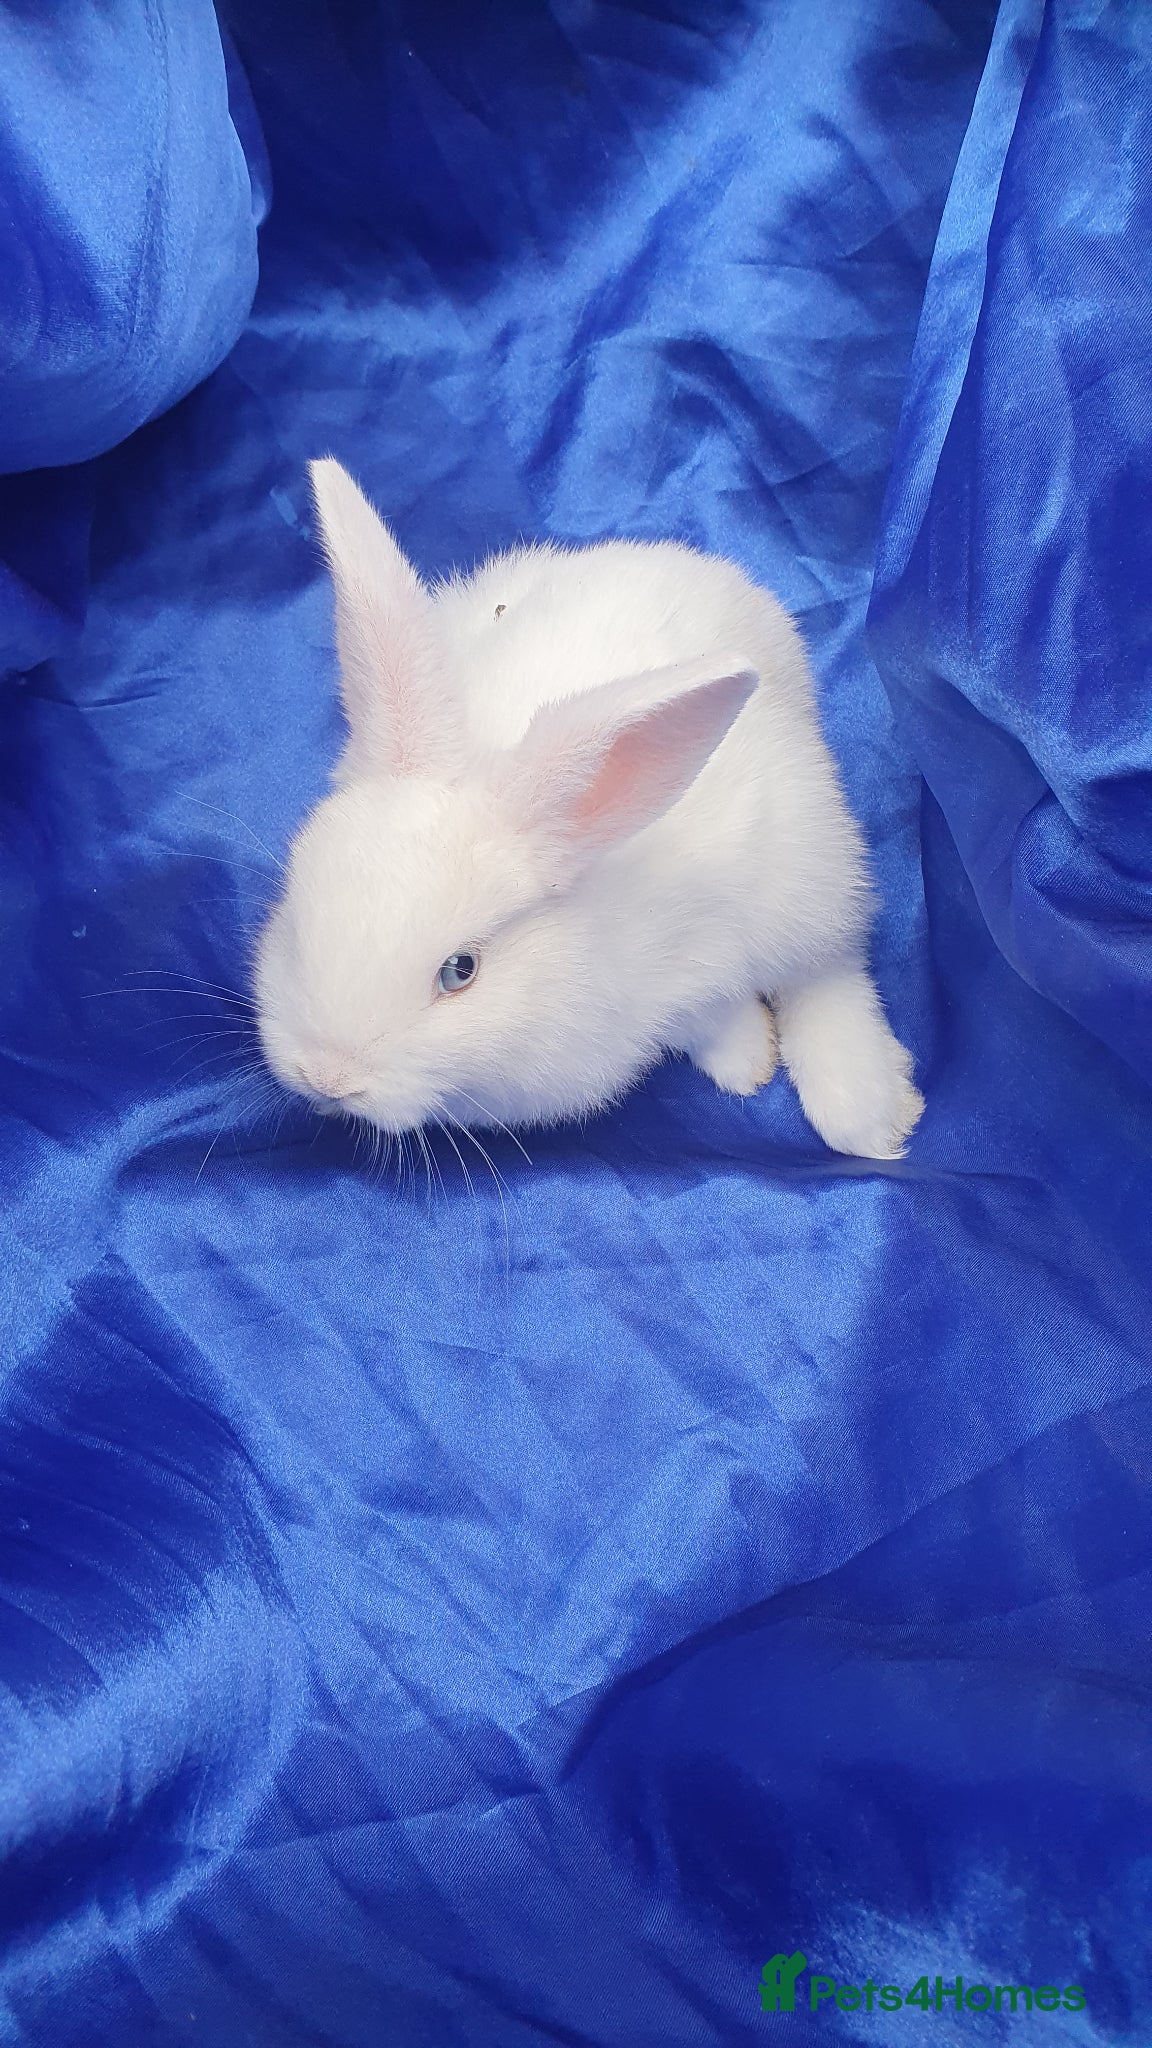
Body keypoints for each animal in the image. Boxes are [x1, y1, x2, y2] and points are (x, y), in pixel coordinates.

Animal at [255, 458, 924, 1159]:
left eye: (460, 971)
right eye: (296, 921)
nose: (329, 1077)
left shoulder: (714, 939)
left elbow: (716, 1008)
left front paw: (746, 1061)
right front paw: (745, 1058)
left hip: (803, 860)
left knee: (831, 966)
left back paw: (871, 1112)